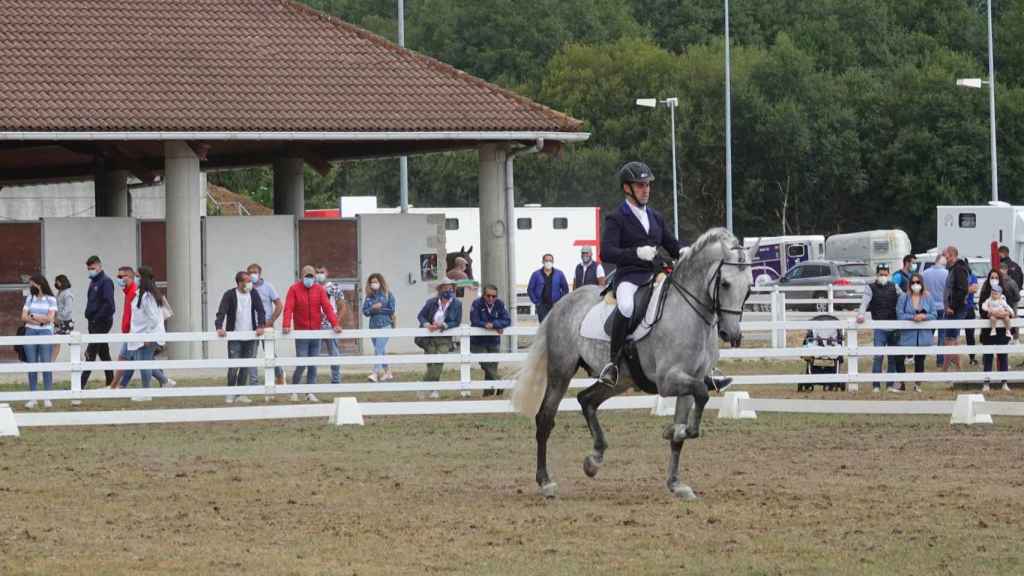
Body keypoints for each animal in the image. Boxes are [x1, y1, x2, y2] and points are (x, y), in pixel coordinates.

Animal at [512, 226, 753, 496]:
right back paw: (546, 482)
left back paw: (594, 460)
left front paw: (676, 482)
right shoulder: (668, 381)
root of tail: (561, 304)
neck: (688, 314)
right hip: (561, 372)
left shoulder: (691, 380)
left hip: (621, 380)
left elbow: (688, 423)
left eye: (749, 288)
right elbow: (701, 394)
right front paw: (671, 431)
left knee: (587, 400)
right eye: (725, 283)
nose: (732, 335)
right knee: (545, 418)